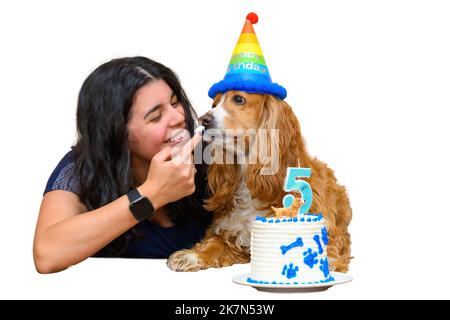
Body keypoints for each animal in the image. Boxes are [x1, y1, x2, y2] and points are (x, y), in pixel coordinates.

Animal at [167, 90, 354, 272]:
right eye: (214, 104)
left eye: (239, 99)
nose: (203, 120)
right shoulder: (233, 234)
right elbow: (214, 244)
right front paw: (191, 255)